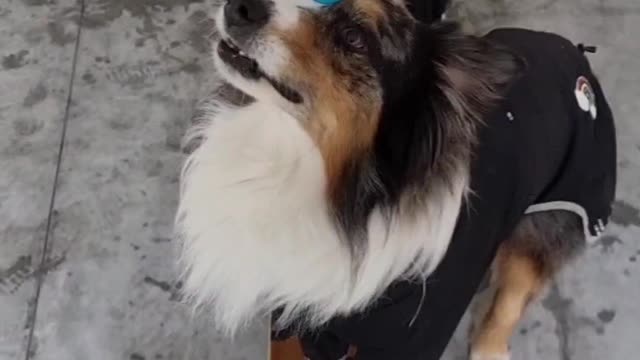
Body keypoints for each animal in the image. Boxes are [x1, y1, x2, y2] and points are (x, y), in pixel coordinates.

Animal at [175, 0, 616, 360]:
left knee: (514, 294)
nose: (240, 6)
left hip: (555, 214)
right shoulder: (307, 321)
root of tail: (573, 54)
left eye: (353, 37)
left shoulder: (411, 334)